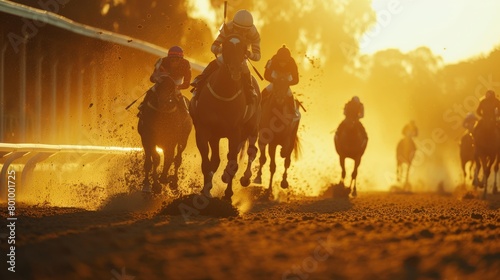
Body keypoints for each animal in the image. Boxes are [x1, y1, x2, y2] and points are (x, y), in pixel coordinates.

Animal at [189, 33, 262, 201]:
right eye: (227, 47)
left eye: (244, 48)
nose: (235, 70)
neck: (223, 94)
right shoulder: (203, 130)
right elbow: (207, 163)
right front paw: (206, 190)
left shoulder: (235, 132)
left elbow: (233, 162)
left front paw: (227, 186)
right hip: (216, 136)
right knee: (217, 160)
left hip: (251, 129)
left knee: (250, 152)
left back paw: (243, 179)